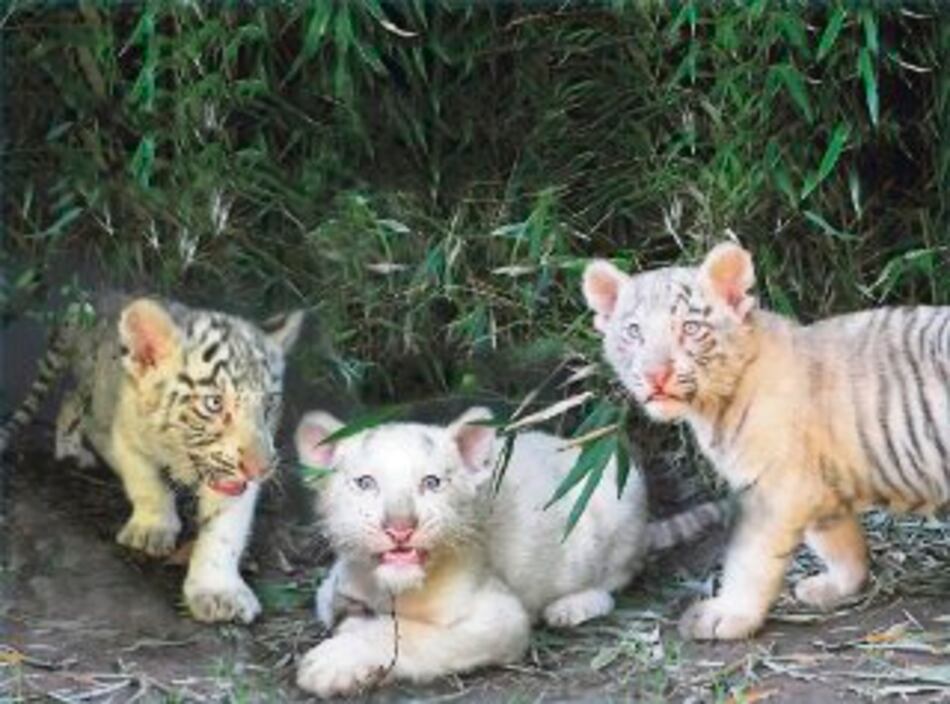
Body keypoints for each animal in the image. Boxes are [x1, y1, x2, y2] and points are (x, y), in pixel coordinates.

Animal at [0, 292, 303, 623]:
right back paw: (71, 451)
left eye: (269, 405)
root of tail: (97, 300)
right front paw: (152, 530)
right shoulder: (128, 433)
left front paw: (218, 592)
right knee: (78, 406)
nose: (259, 469)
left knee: (71, 401)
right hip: (96, 392)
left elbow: (224, 529)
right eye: (214, 403)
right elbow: (148, 484)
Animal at [292, 407, 727, 698]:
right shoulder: (339, 577)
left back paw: (570, 608)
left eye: (432, 483)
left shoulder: (499, 615)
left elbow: (406, 633)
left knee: (617, 580)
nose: (400, 527)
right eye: (365, 483)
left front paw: (331, 662)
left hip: (619, 498)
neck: (389, 586)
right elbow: (330, 600)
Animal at [583, 241, 950, 640]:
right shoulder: (822, 485)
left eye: (691, 328)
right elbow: (838, 543)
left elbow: (749, 557)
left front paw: (725, 615)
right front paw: (836, 586)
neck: (712, 406)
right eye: (634, 332)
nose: (655, 375)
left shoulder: (777, 488)